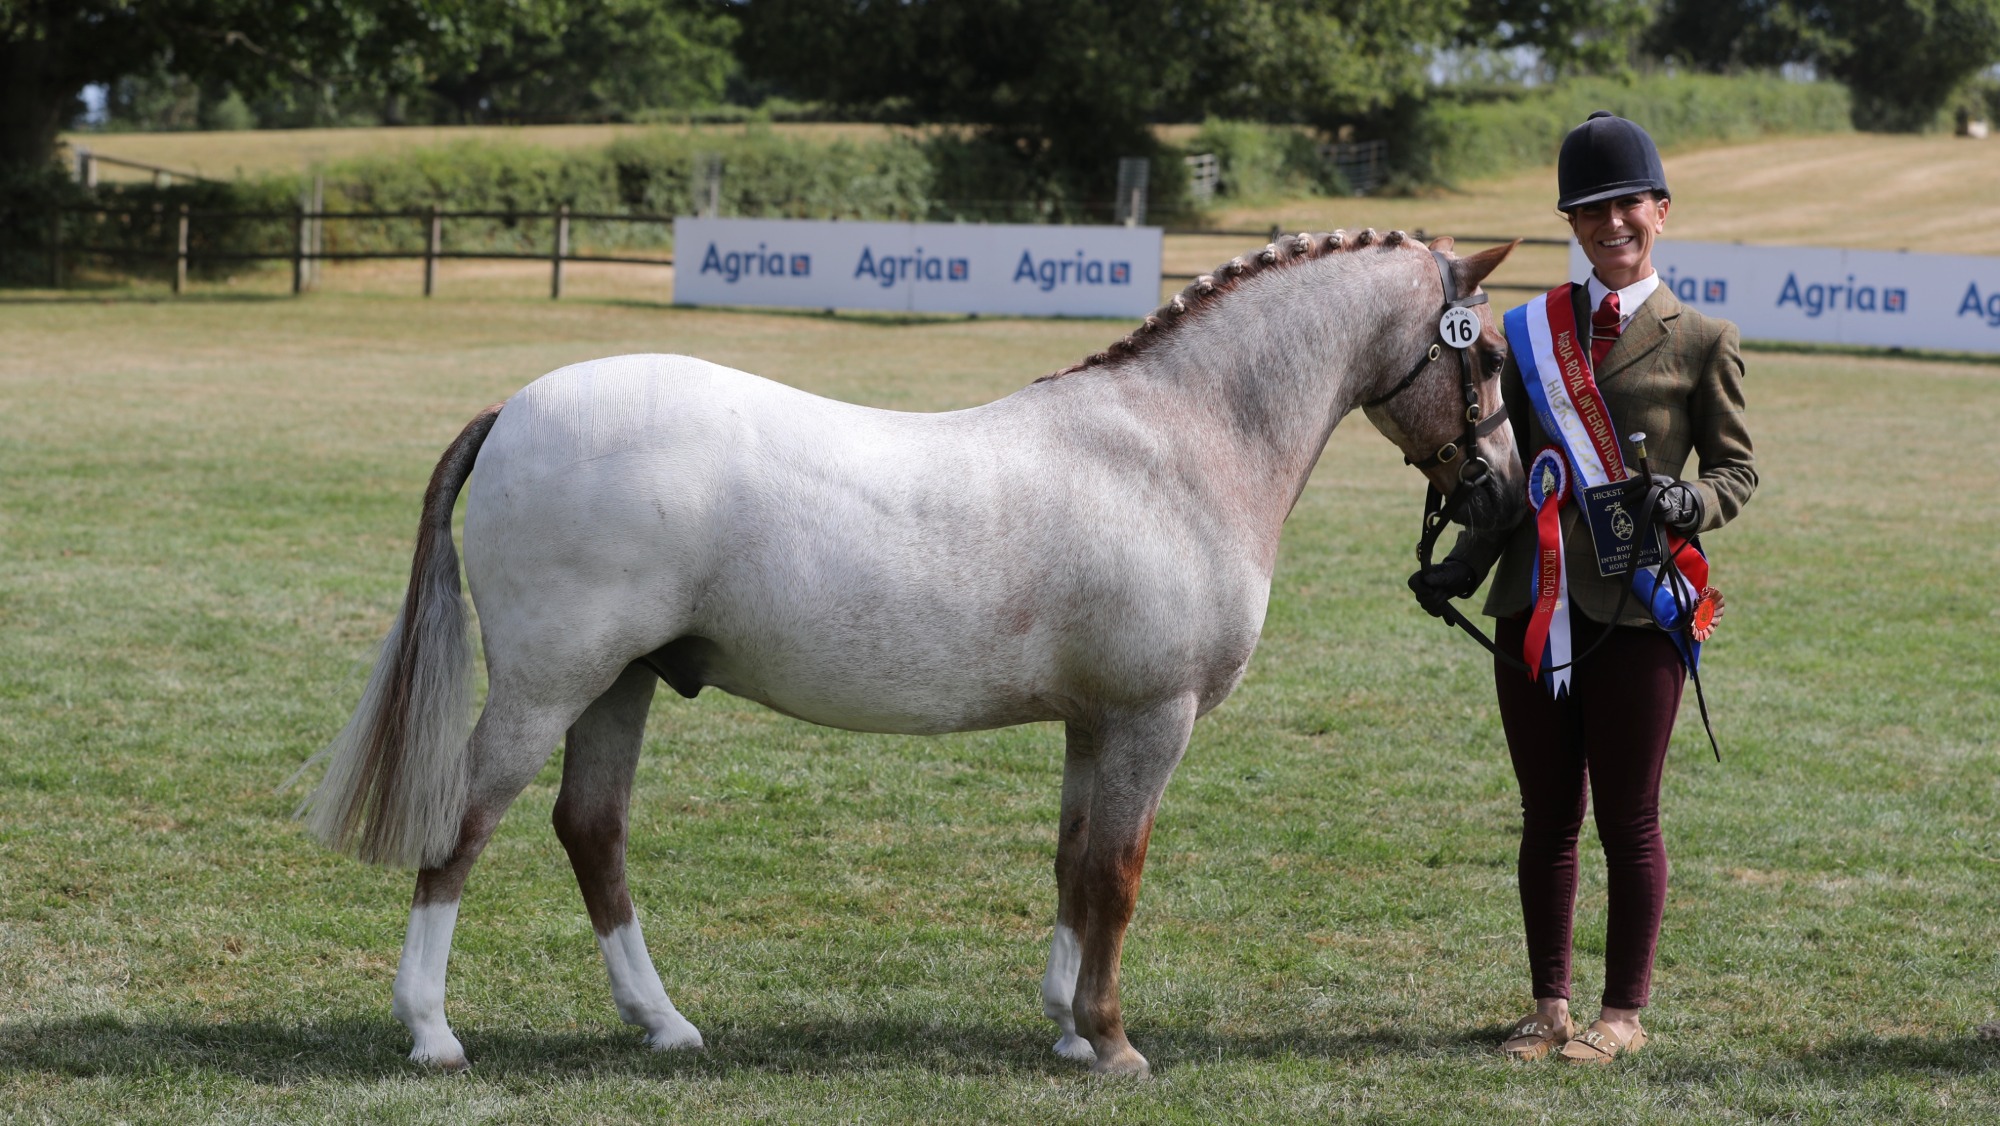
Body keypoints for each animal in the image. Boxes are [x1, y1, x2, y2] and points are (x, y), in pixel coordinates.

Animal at [298, 229, 1524, 1078]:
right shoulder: (1149, 718)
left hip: (618, 688)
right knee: (464, 823)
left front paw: (1067, 1030)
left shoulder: (1093, 723)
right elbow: (1118, 875)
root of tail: (515, 407)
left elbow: (1074, 862)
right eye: (1491, 363)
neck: (1174, 446)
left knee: (591, 831)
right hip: (548, 686)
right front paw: (1115, 1043)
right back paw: (432, 1032)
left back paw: (665, 1023)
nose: (1504, 493)